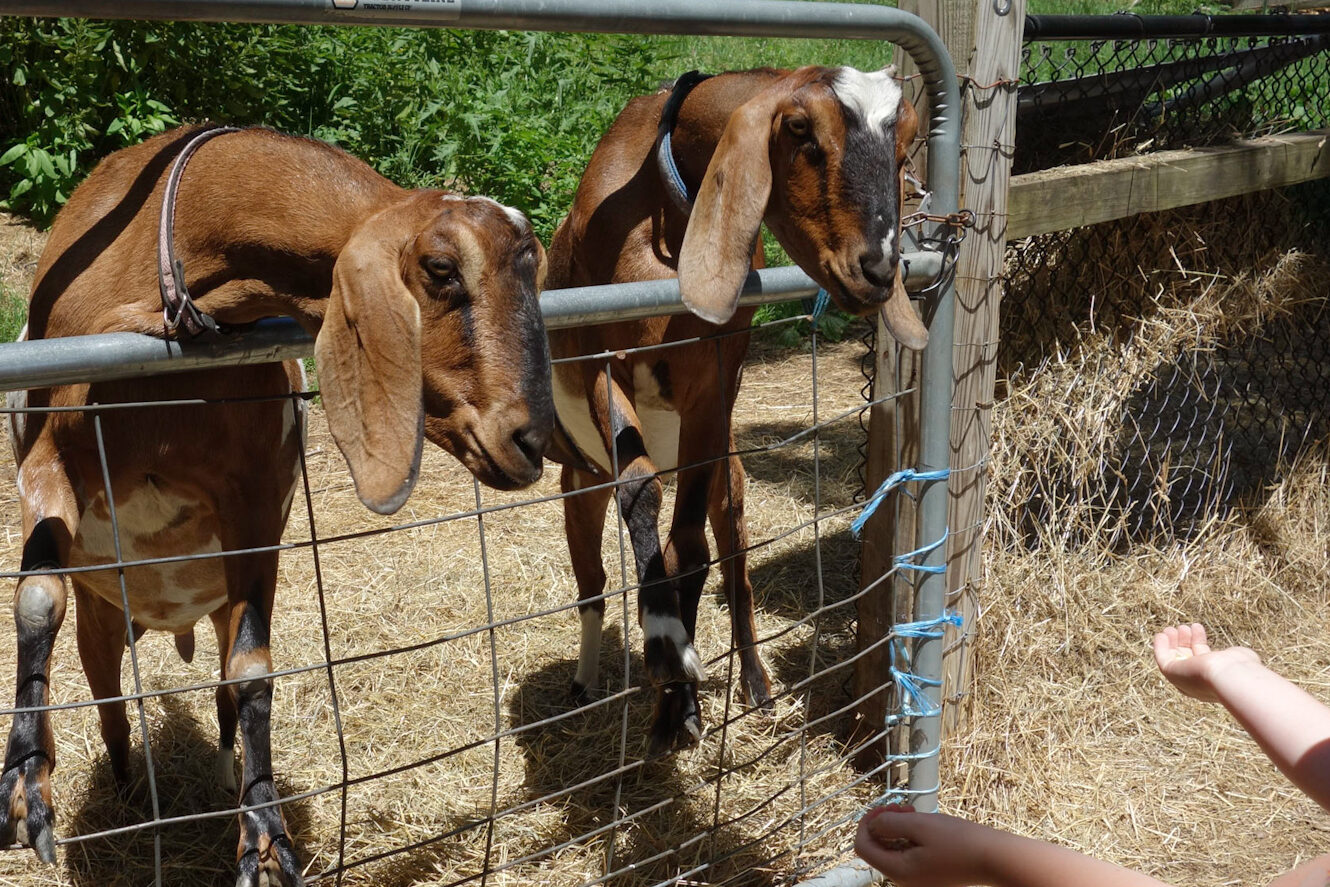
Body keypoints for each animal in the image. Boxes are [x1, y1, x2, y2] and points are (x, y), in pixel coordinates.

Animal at [5, 126, 555, 887]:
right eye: (442, 267)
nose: (531, 440)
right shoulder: (51, 456)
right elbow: (36, 600)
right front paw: (25, 785)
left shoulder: (256, 498)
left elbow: (252, 671)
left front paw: (264, 839)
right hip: (105, 613)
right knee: (111, 698)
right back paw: (129, 794)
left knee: (219, 691)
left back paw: (222, 773)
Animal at [545, 64, 920, 755]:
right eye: (800, 130)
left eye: (906, 145)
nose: (879, 270)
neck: (663, 220)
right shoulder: (600, 360)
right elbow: (641, 493)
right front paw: (666, 653)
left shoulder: (717, 375)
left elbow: (690, 546)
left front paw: (676, 694)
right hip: (578, 483)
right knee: (592, 589)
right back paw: (584, 681)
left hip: (734, 480)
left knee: (739, 573)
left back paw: (756, 684)